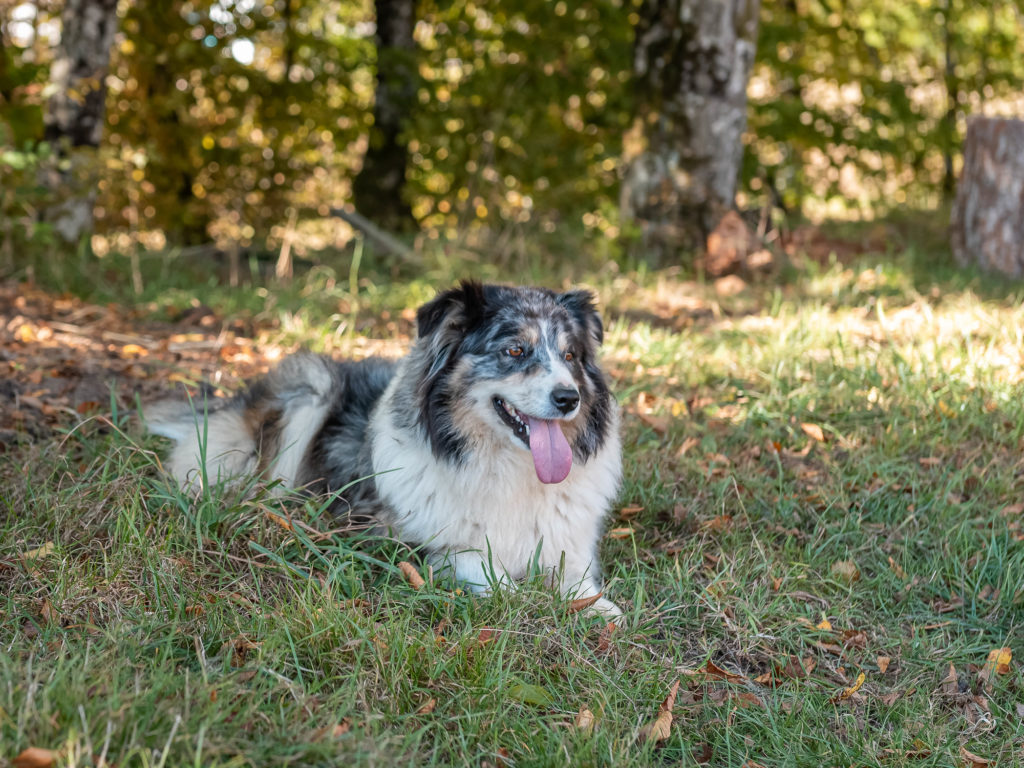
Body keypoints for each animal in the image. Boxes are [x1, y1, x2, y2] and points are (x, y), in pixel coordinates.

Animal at [147, 284, 618, 618]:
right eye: (515, 350)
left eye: (571, 355)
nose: (569, 398)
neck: (509, 469)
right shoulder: (428, 547)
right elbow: (495, 579)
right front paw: (531, 602)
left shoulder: (566, 542)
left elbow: (578, 582)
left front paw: (597, 608)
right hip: (314, 383)